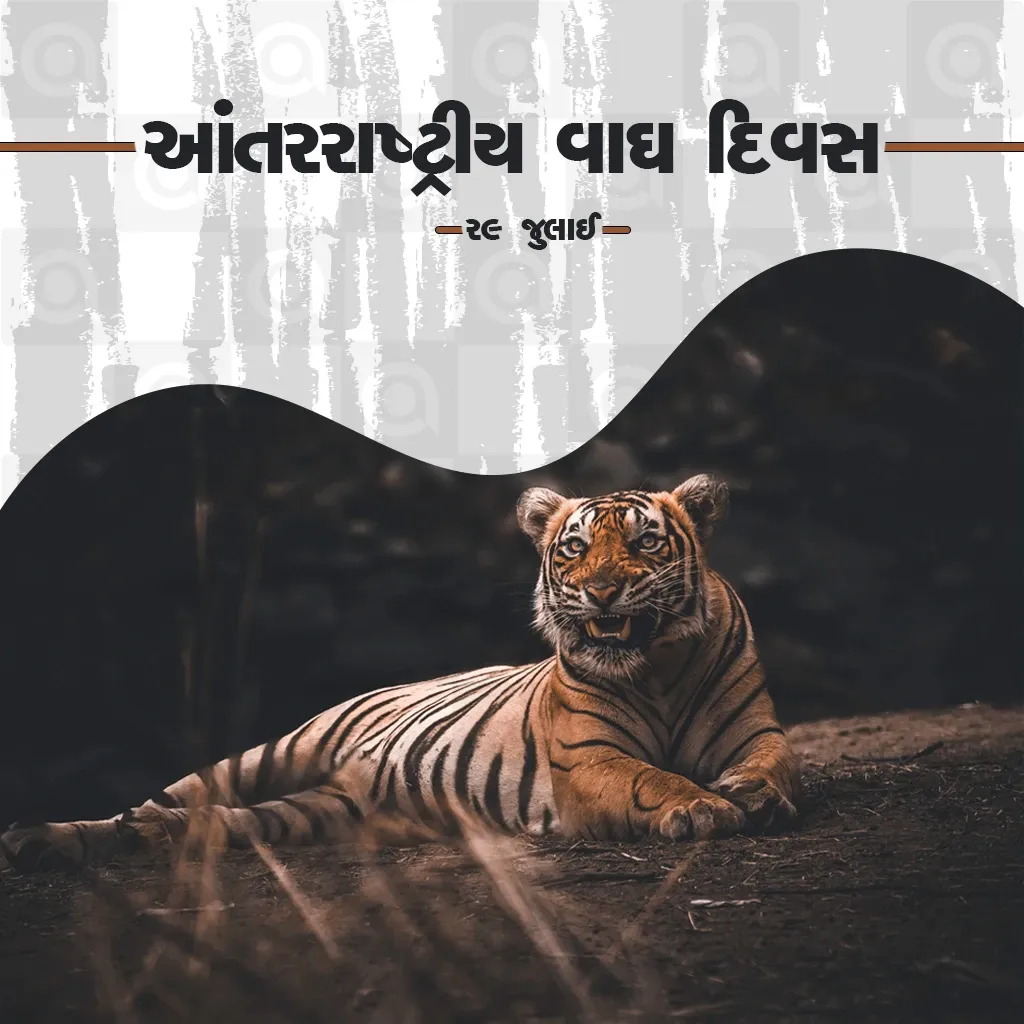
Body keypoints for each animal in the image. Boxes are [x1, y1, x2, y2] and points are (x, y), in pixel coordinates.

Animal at [1, 475, 800, 873]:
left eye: (644, 544)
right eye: (574, 549)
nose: (601, 593)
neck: (657, 668)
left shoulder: (755, 730)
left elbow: (773, 762)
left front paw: (749, 793)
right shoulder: (588, 760)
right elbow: (649, 778)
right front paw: (701, 807)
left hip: (320, 812)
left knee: (218, 824)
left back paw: (142, 838)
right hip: (269, 753)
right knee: (166, 798)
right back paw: (51, 837)